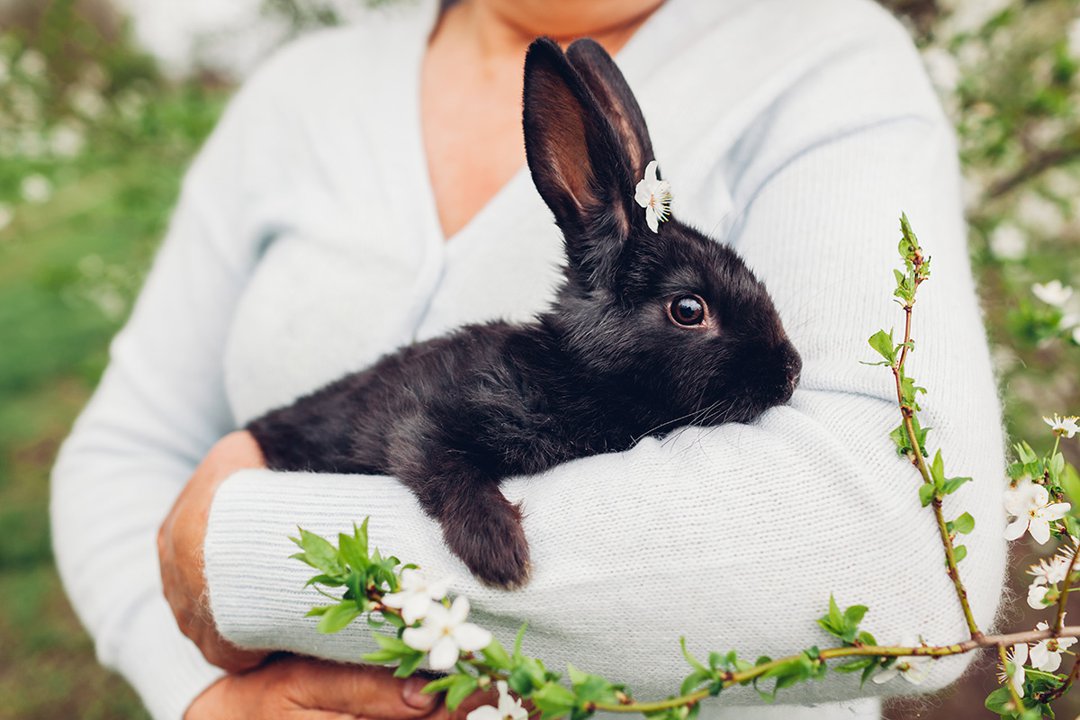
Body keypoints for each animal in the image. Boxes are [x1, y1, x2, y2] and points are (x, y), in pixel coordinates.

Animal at [247, 36, 803, 587]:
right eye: (688, 309)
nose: (791, 372)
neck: (574, 369)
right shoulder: (419, 422)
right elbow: (442, 465)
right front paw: (501, 554)